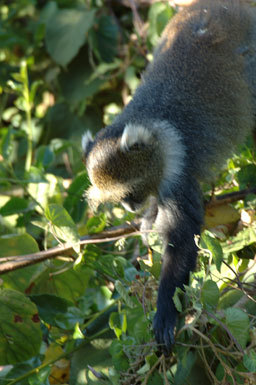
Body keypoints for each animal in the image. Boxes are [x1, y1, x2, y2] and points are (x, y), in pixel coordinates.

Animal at [81, 0, 256, 352]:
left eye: (129, 194)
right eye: (121, 201)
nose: (131, 208)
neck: (152, 128)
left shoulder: (178, 172)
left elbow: (181, 237)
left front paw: (165, 313)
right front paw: (148, 219)